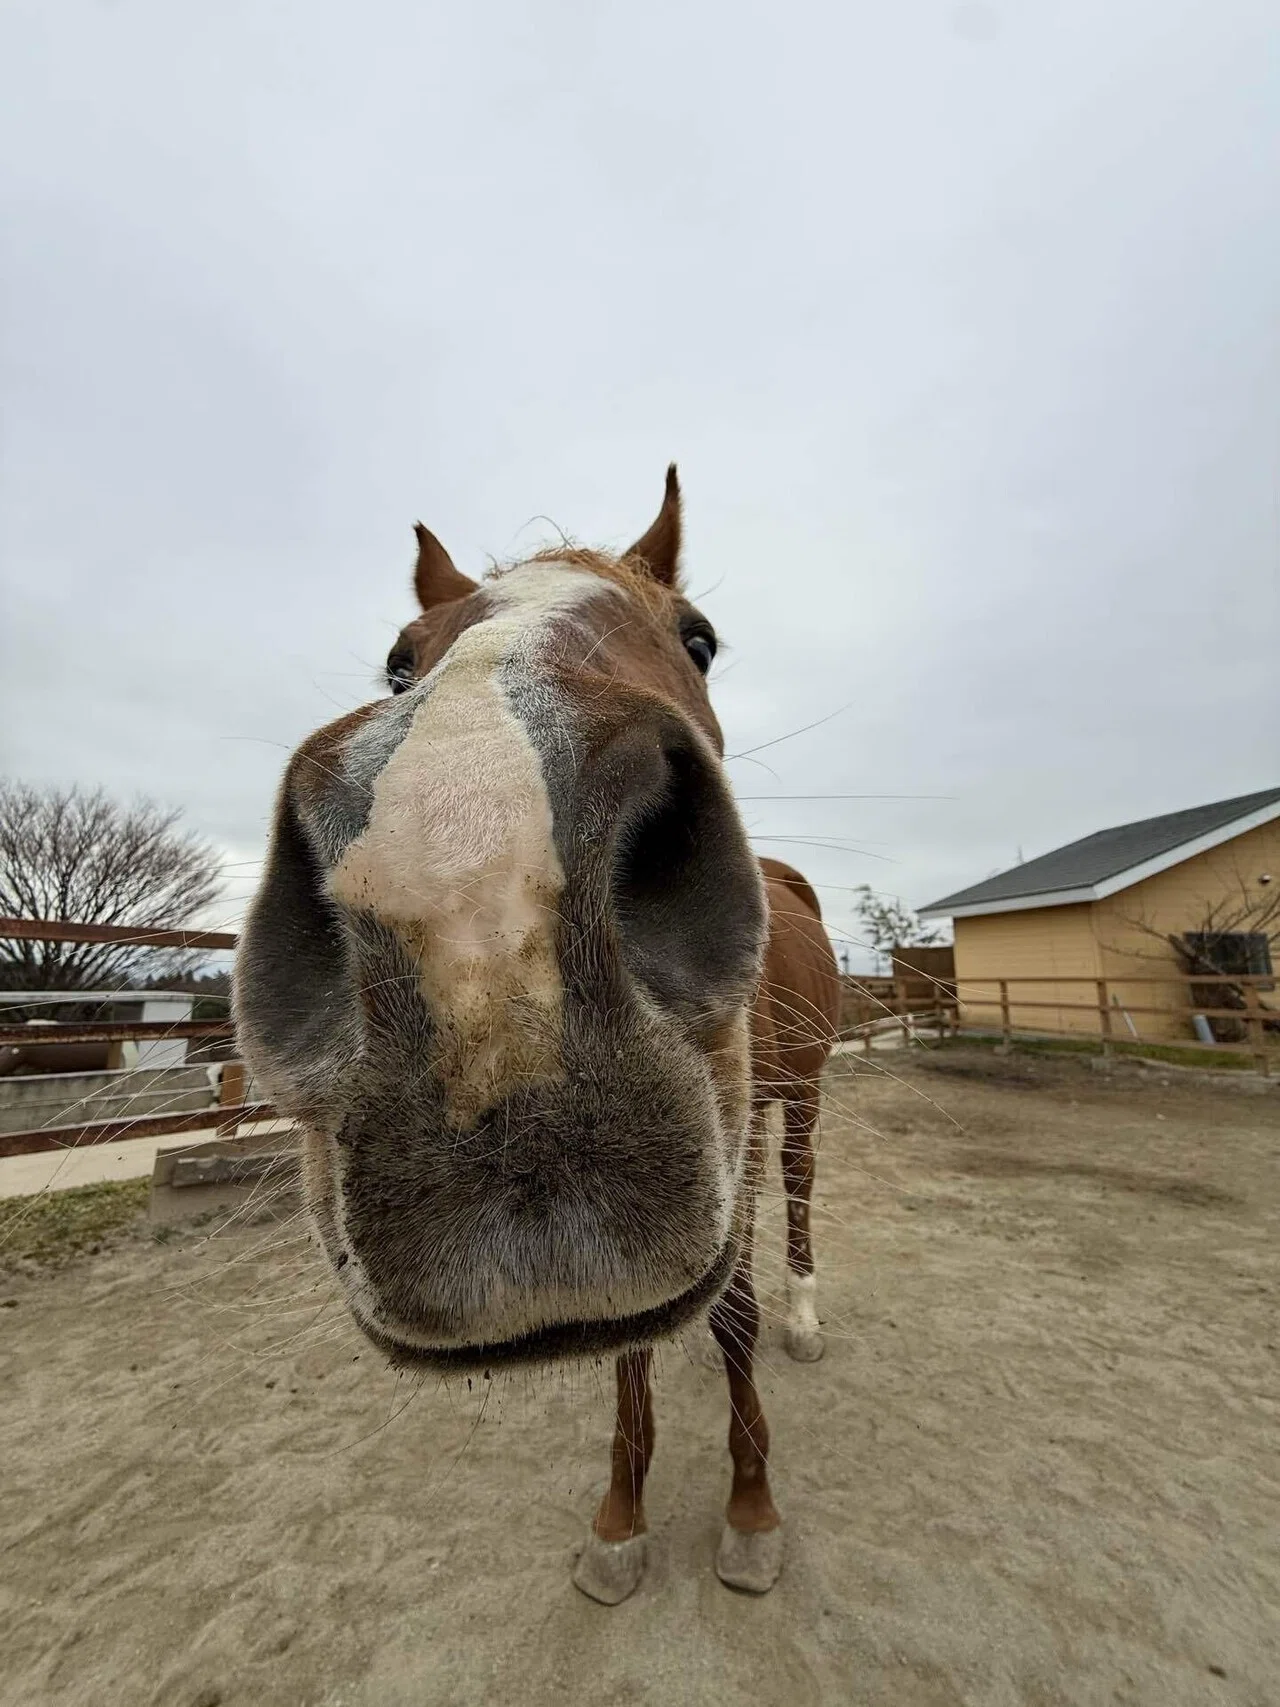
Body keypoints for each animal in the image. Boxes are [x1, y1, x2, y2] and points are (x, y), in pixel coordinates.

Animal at [233, 468, 841, 1603]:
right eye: (400, 658)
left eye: (698, 639)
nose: (467, 886)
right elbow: (634, 1344)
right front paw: (619, 1518)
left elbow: (732, 1316)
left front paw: (749, 1510)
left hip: (803, 1104)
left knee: (799, 1197)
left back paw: (806, 1313)